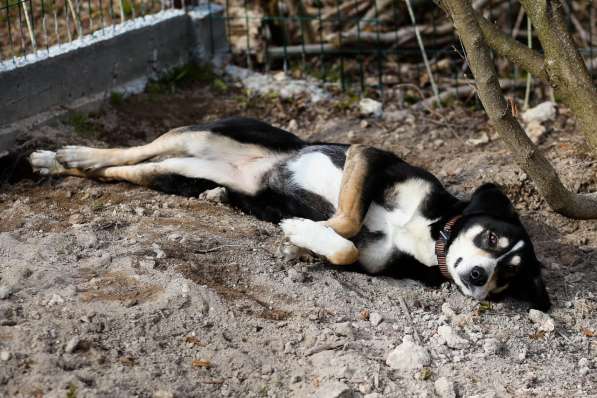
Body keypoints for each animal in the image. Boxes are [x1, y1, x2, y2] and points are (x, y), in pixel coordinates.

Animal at [28, 116, 548, 310]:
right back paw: (64, 155)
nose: (480, 277)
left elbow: (343, 249)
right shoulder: (367, 156)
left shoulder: (367, 262)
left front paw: (302, 239)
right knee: (129, 150)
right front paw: (303, 228)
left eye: (507, 276)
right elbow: (348, 219)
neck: (431, 233)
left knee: (126, 171)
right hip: (201, 134)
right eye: (492, 240)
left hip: (175, 174)